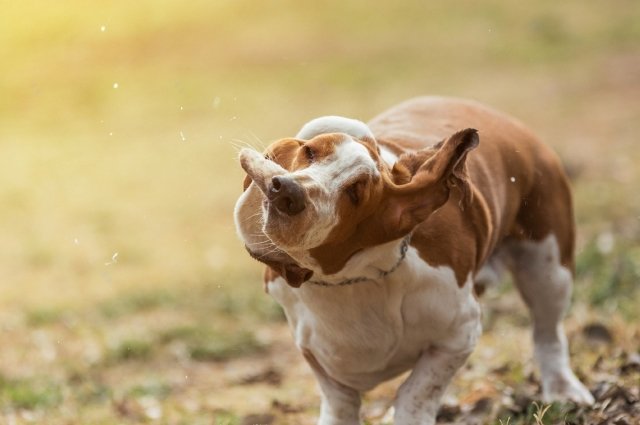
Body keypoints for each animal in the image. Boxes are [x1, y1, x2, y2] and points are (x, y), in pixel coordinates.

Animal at [232, 97, 592, 424]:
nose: (284, 190)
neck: (354, 279)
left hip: (548, 268)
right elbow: (339, 402)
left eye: (355, 193)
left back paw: (565, 391)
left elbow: (416, 393)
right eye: (309, 153)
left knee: (548, 333)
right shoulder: (314, 353)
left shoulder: (458, 336)